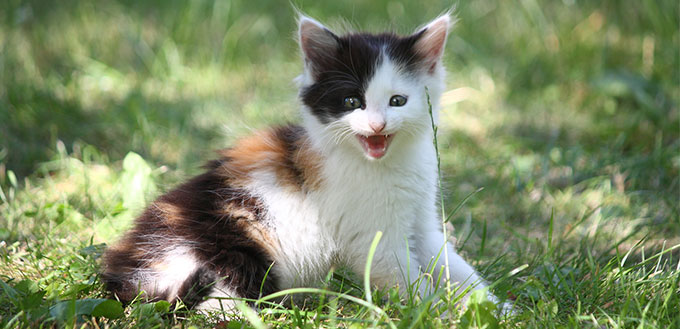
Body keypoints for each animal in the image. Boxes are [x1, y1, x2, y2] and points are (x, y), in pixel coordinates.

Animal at [102, 14, 500, 314]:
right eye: (352, 102)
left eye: (397, 101)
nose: (377, 126)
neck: (386, 164)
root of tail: (123, 277)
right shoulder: (374, 240)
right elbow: (405, 278)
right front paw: (436, 312)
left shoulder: (421, 219)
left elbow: (453, 266)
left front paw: (492, 307)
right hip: (229, 256)